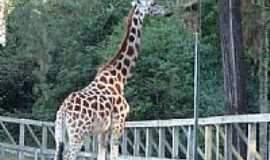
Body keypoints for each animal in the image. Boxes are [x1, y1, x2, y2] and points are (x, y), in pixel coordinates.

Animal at [53, 0, 171, 159]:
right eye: (153, 3)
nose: (168, 12)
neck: (121, 76)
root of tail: (63, 110)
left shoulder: (103, 129)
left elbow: (102, 153)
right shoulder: (119, 120)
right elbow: (115, 153)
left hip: (60, 133)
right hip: (78, 133)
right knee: (69, 155)